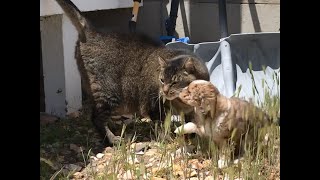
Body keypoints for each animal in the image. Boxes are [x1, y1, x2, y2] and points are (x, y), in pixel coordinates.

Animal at [55, 0, 210, 146]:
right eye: (161, 80)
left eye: (175, 82)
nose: (165, 91)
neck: (183, 103)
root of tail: (93, 31)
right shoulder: (154, 106)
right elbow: (161, 127)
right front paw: (167, 140)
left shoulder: (191, 111)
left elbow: (191, 125)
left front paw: (192, 138)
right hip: (108, 93)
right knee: (96, 118)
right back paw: (112, 139)